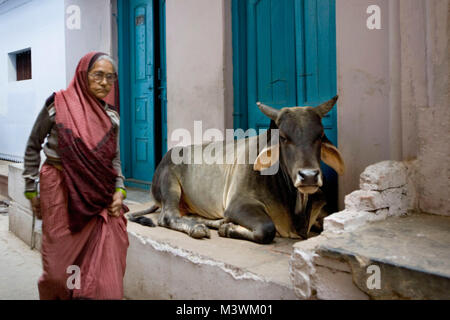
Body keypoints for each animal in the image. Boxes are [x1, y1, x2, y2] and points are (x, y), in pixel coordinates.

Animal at [130, 96, 344, 244]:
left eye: (320, 135)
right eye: (283, 137)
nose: (309, 176)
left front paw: (226, 226)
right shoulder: (238, 205)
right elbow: (267, 229)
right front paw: (228, 230)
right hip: (170, 184)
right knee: (168, 216)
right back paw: (198, 228)